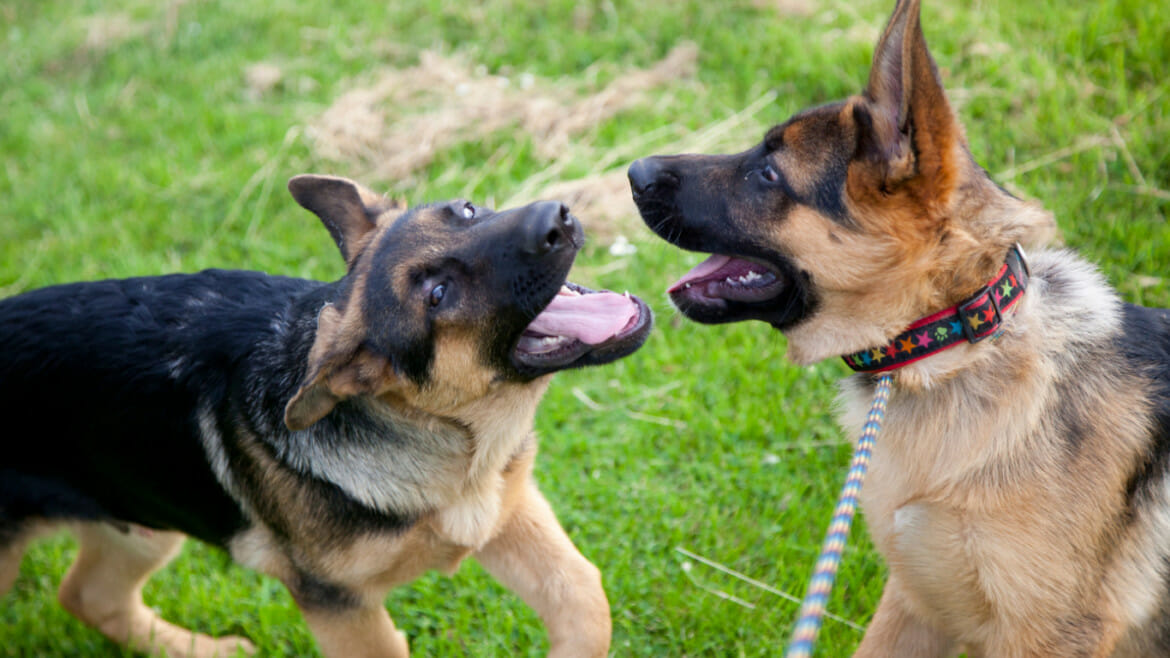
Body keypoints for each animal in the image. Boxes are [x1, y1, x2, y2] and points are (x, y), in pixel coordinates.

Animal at [0, 174, 650, 655]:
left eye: (466, 210)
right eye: (437, 294)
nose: (557, 217)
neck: (442, 435)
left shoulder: (505, 514)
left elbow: (583, 596)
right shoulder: (338, 605)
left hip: (143, 524)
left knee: (89, 597)